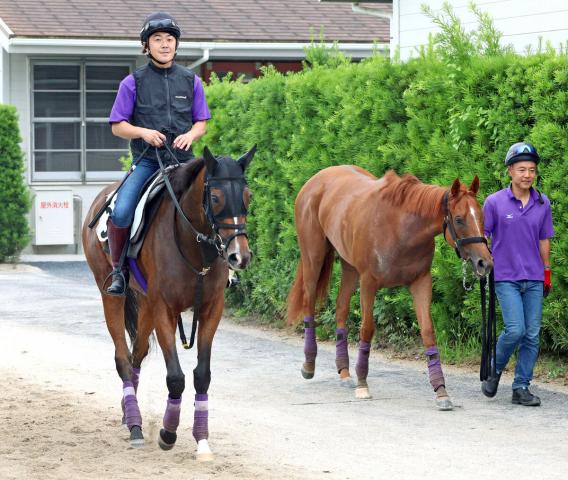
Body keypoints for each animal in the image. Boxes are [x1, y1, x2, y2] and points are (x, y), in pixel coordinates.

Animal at [81, 145, 255, 458]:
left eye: (248, 195)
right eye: (215, 197)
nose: (240, 256)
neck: (193, 246)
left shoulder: (211, 310)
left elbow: (202, 374)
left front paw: (202, 439)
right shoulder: (165, 309)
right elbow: (175, 377)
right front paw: (168, 433)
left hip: (145, 304)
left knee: (136, 355)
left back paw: (128, 413)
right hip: (111, 295)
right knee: (123, 359)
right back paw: (135, 426)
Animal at [288, 167, 492, 410]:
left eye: (481, 216)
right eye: (459, 219)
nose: (485, 263)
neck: (401, 227)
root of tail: (316, 180)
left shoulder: (421, 282)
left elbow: (428, 332)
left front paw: (441, 391)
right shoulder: (368, 282)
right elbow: (367, 329)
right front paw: (363, 383)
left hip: (349, 268)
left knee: (341, 309)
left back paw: (344, 372)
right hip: (314, 257)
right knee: (309, 303)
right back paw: (309, 365)